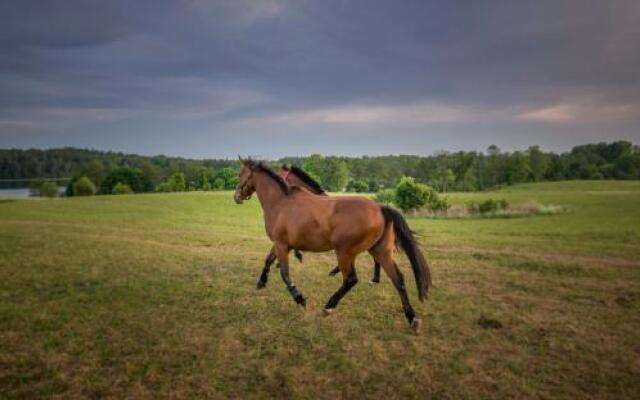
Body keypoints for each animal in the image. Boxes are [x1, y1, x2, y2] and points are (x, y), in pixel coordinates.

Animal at [232, 158, 432, 330]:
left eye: (241, 174)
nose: (237, 196)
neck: (281, 202)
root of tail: (381, 208)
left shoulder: (282, 245)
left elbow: (285, 274)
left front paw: (300, 299)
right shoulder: (281, 243)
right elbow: (268, 260)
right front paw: (261, 282)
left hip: (345, 253)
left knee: (351, 279)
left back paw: (328, 306)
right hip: (380, 251)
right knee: (398, 280)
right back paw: (412, 318)